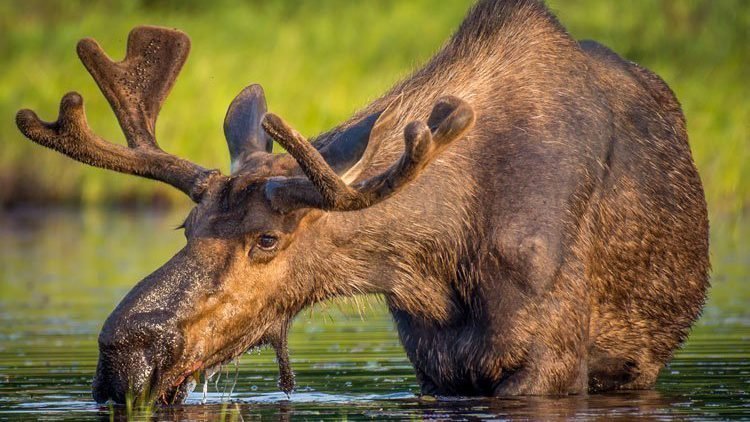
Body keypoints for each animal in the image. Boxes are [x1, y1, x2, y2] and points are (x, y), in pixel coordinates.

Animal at [16, 0, 709, 405]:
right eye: (187, 226)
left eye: (267, 239)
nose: (123, 353)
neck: (437, 261)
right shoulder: (434, 365)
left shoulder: (552, 361)